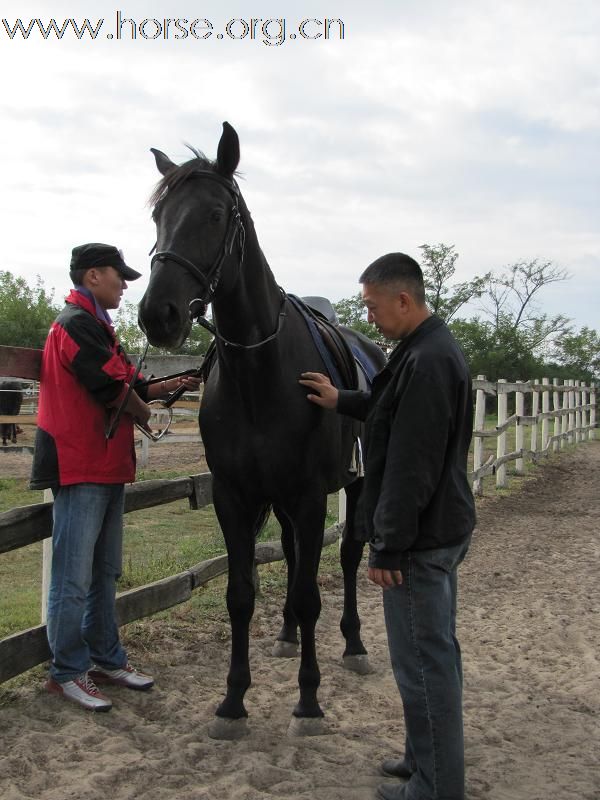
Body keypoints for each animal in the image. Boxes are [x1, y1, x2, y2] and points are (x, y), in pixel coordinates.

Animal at [138, 122, 384, 740]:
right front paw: (232, 701)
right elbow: (241, 594)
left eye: (215, 214)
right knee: (295, 562)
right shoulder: (237, 497)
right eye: (158, 216)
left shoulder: (310, 496)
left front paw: (309, 702)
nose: (158, 314)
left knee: (346, 558)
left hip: (353, 487)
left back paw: (353, 645)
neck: (260, 371)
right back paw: (287, 636)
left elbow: (311, 592)